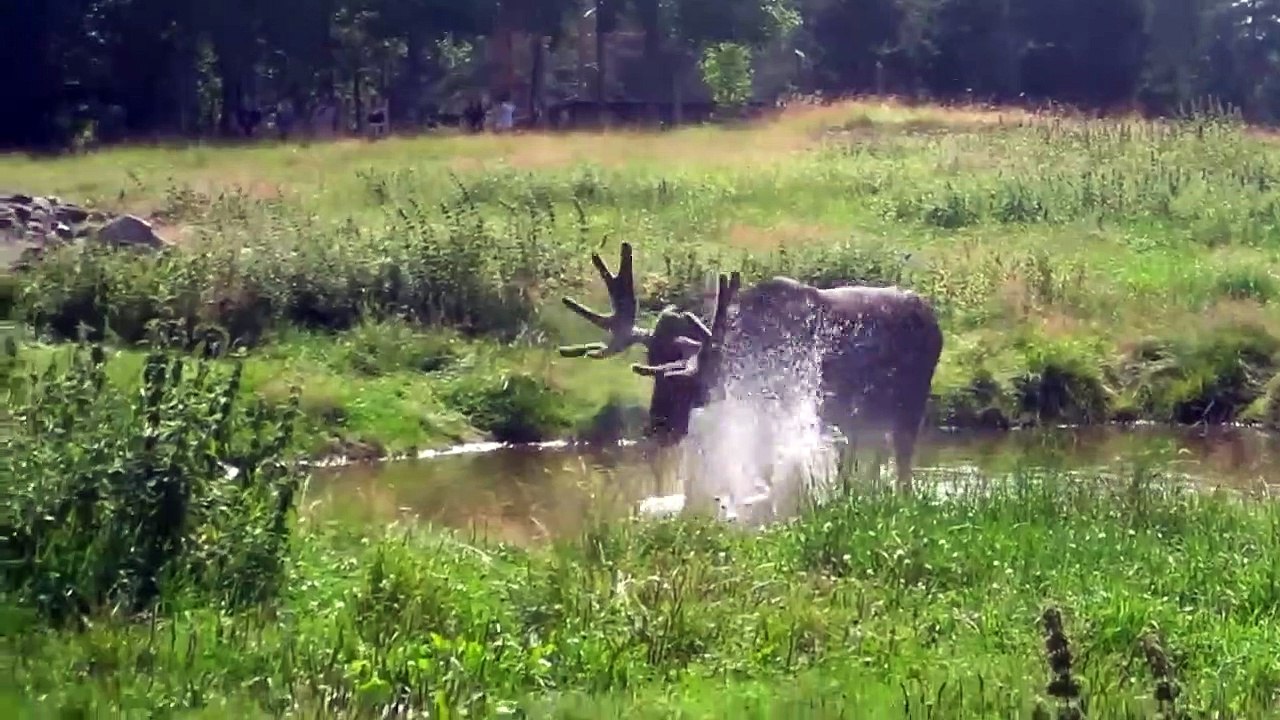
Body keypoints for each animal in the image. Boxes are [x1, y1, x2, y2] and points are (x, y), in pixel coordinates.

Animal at [557, 242, 944, 506]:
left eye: (686, 378)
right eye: (652, 361)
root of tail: (934, 323)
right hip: (864, 416)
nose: (658, 427)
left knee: (903, 465)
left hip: (911, 406)